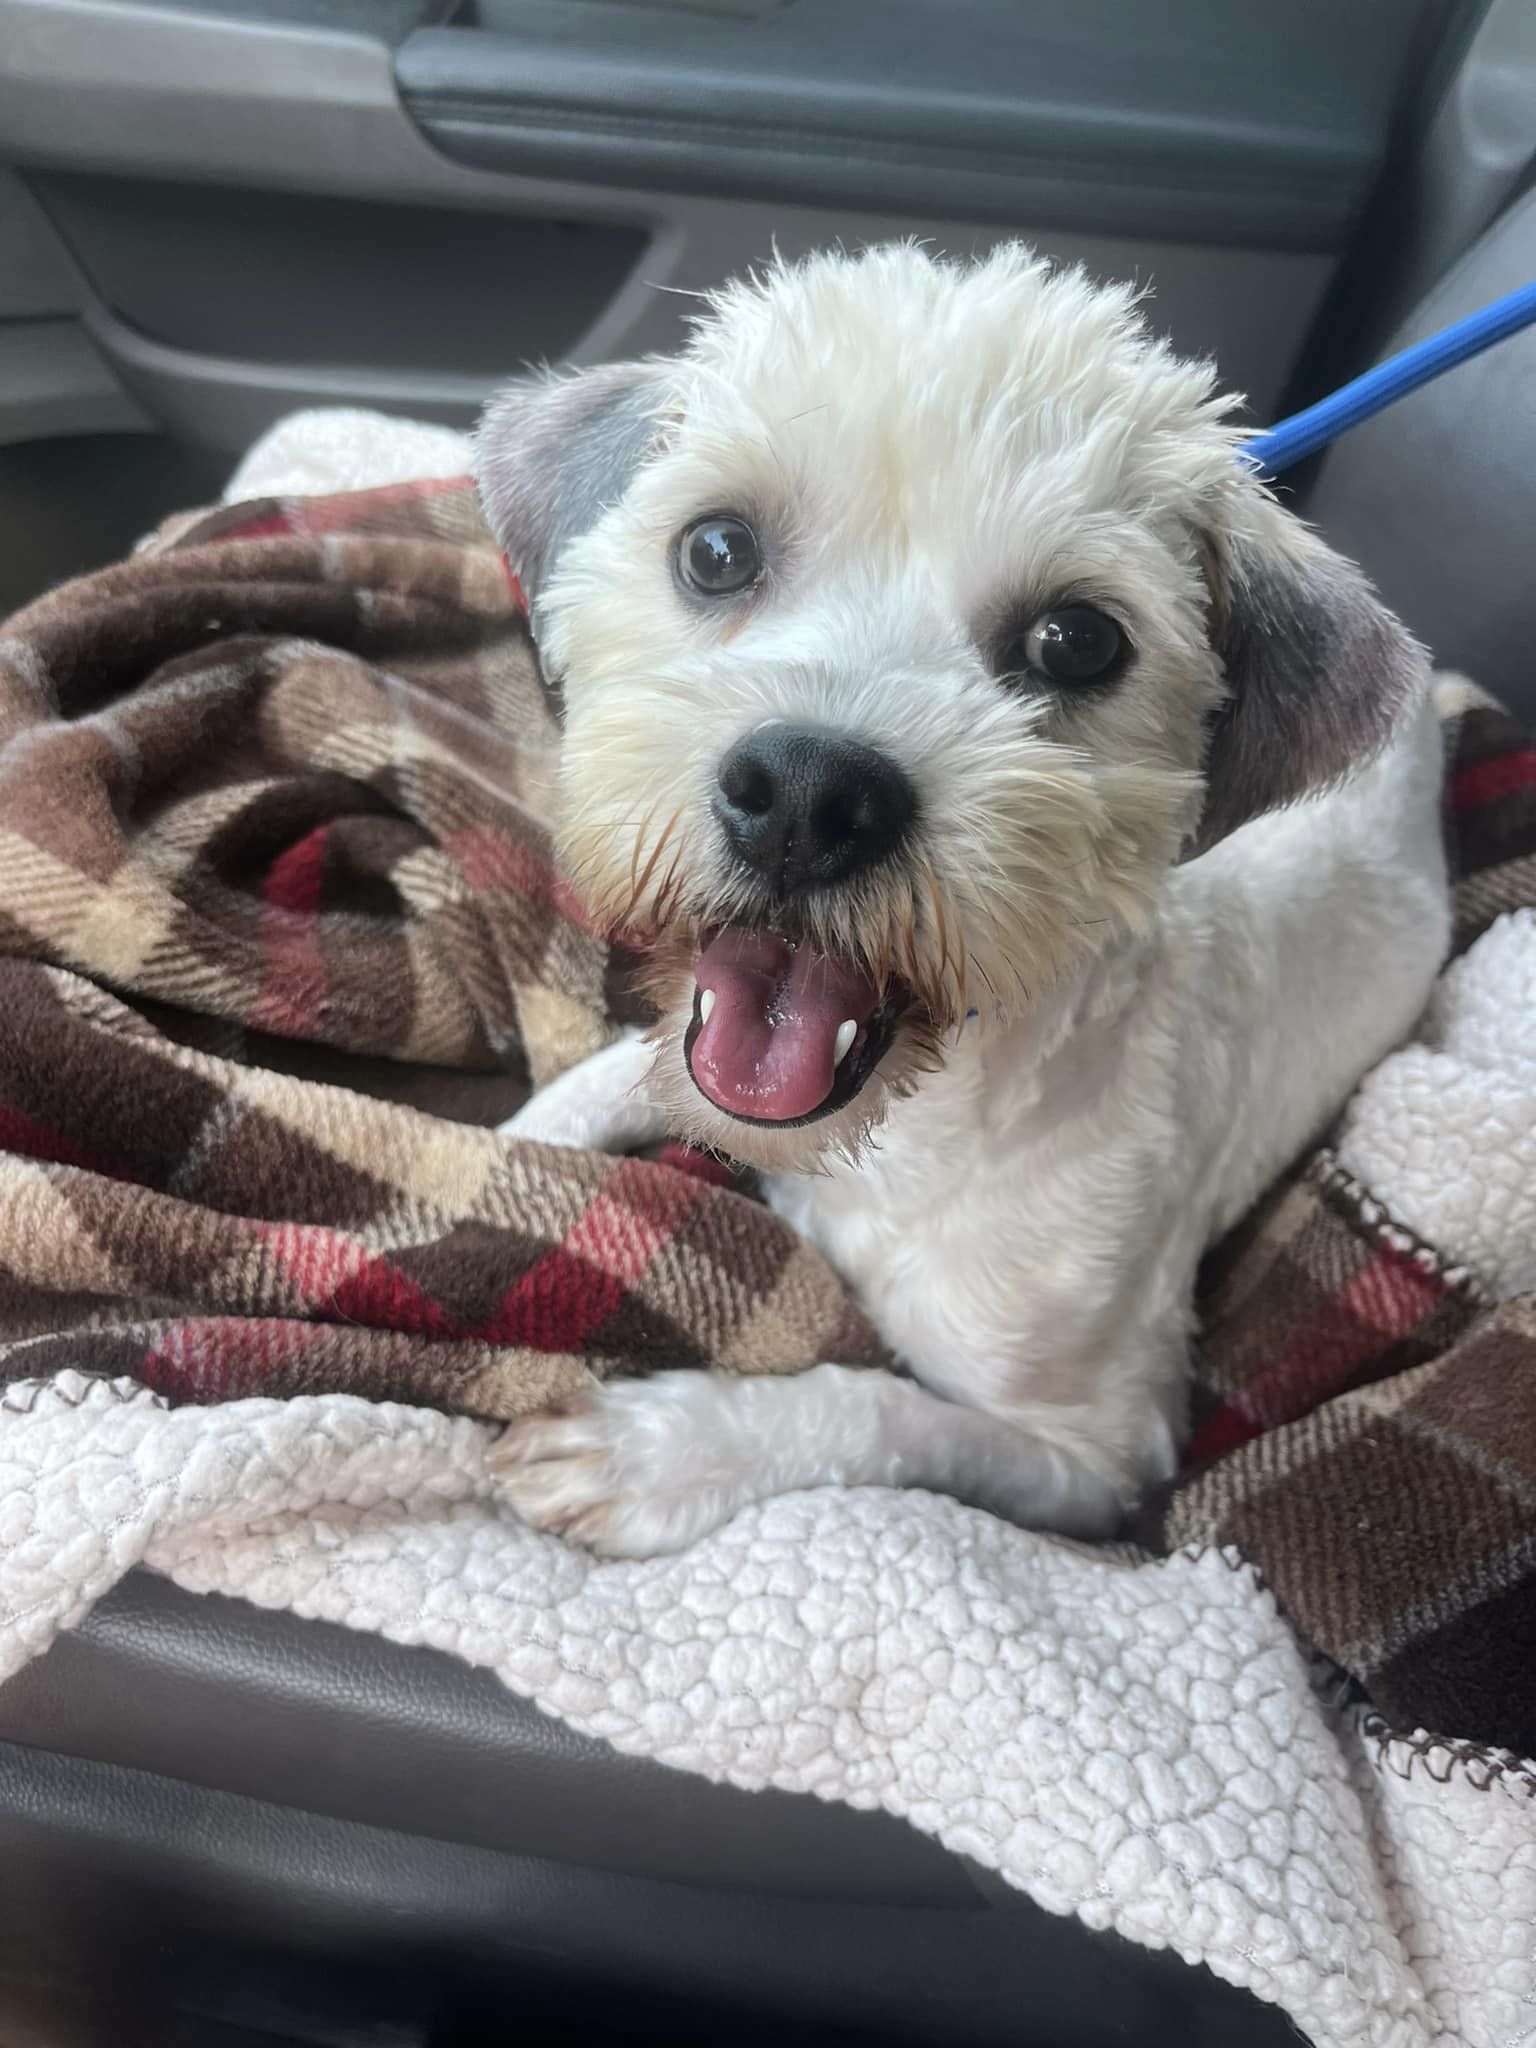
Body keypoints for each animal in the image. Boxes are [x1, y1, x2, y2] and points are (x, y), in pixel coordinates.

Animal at [481, 243, 1458, 1548]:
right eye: (717, 549)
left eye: (1078, 639)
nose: (807, 795)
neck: (900, 1129)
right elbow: (589, 1090)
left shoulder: (1099, 1460)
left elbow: (871, 1406)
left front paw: (653, 1453)